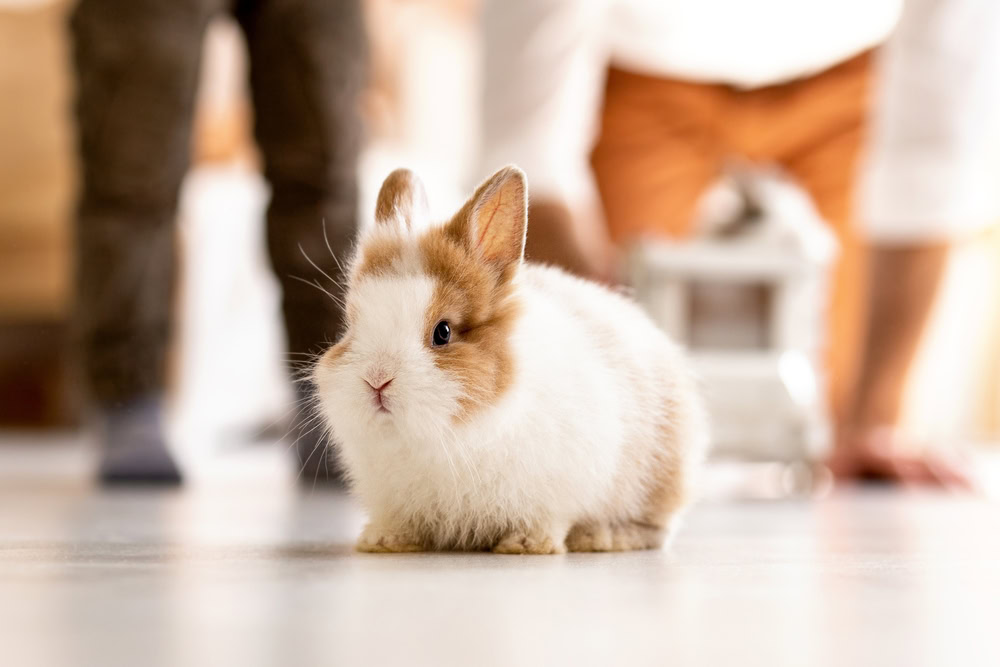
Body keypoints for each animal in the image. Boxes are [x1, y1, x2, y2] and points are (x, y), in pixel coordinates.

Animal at [312, 165, 708, 554]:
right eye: (352, 325)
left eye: (442, 332)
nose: (376, 380)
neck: (442, 436)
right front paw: (382, 541)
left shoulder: (557, 489)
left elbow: (546, 520)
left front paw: (526, 544)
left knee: (656, 530)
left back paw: (598, 537)